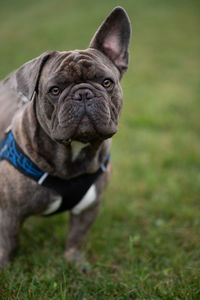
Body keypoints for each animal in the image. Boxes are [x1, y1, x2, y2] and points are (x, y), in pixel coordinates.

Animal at [0, 6, 131, 268]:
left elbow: (76, 237)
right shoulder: (9, 213)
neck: (73, 153)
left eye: (107, 82)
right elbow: (9, 243)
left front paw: (75, 262)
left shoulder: (89, 207)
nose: (83, 94)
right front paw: (5, 266)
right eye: (55, 90)